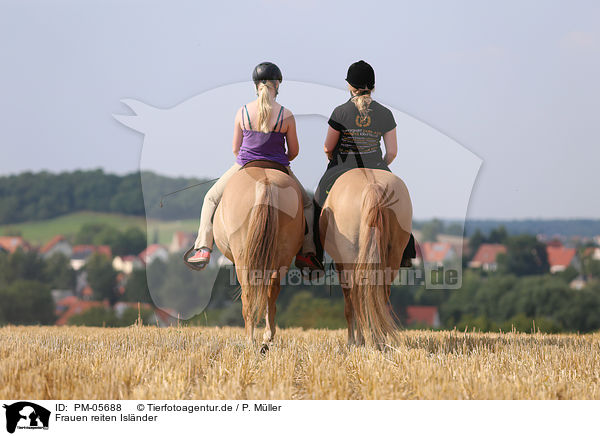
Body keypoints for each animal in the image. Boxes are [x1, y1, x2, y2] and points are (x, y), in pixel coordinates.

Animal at [213, 165, 304, 352]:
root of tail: (265, 183)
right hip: (283, 256)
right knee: (272, 291)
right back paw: (267, 338)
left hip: (243, 258)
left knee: (248, 295)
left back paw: (251, 339)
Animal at [318, 167, 412, 348]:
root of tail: (372, 187)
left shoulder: (341, 265)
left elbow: (349, 304)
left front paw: (352, 341)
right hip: (393, 256)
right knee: (380, 294)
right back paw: (379, 339)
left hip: (350, 259)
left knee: (355, 296)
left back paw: (359, 340)